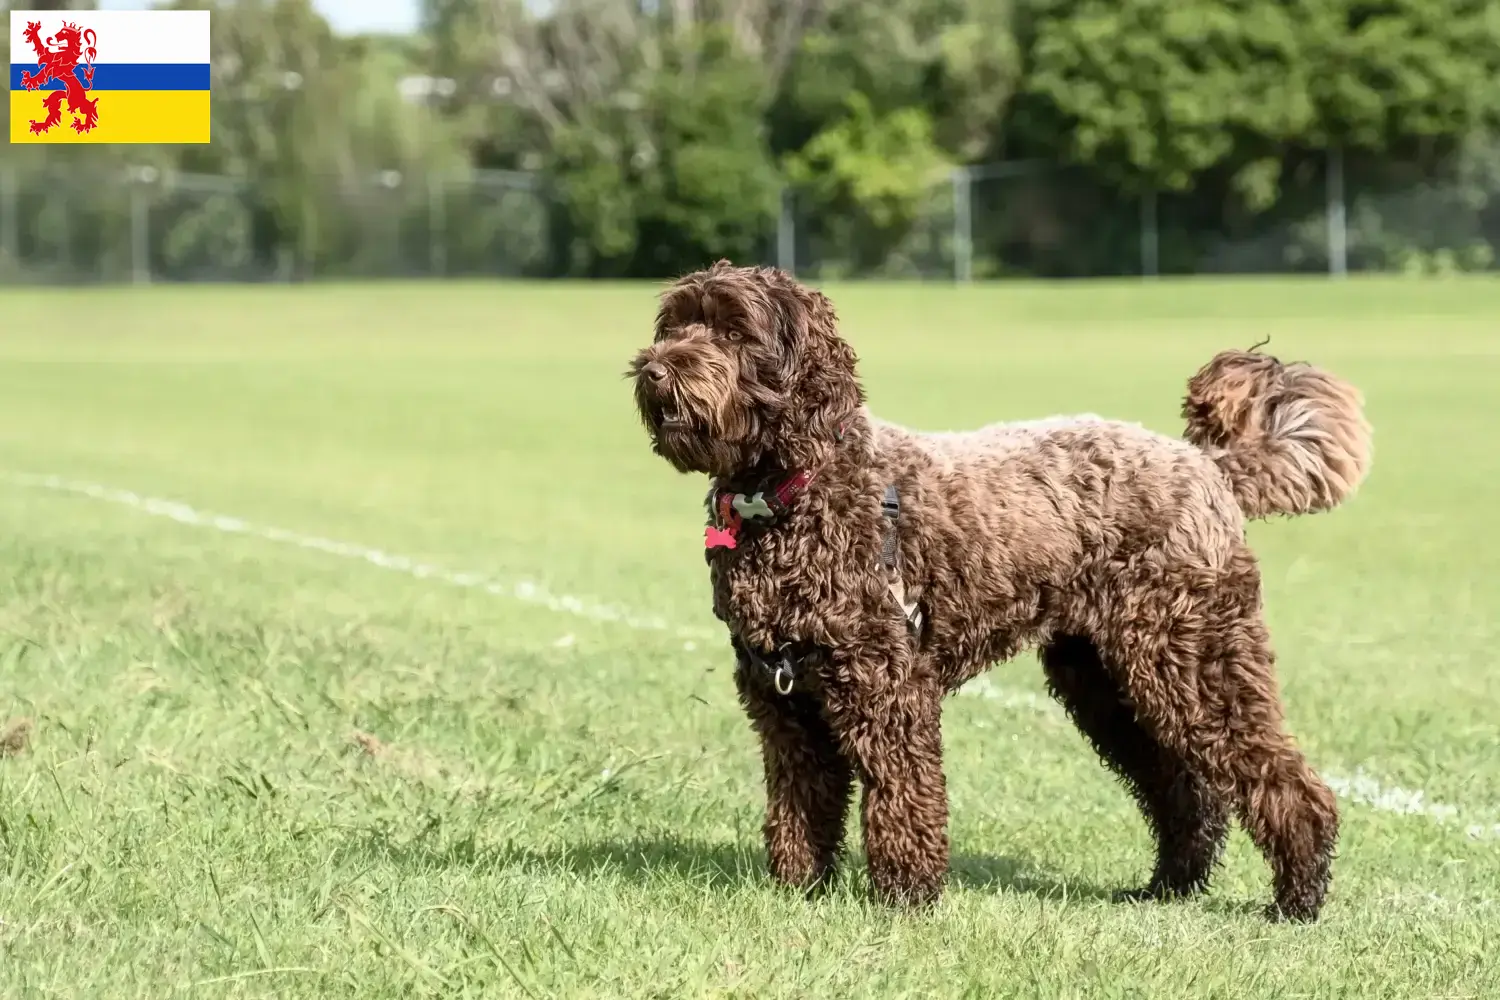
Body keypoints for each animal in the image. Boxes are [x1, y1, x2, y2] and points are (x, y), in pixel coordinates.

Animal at [627, 260, 1374, 923]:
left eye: (733, 331)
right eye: (675, 324)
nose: (654, 368)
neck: (794, 492)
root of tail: (1209, 466)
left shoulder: (886, 687)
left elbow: (902, 793)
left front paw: (905, 897)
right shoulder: (782, 699)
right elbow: (800, 801)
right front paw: (799, 889)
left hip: (1195, 659)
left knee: (1281, 781)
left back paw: (1297, 899)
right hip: (1106, 680)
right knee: (1184, 792)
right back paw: (1168, 887)